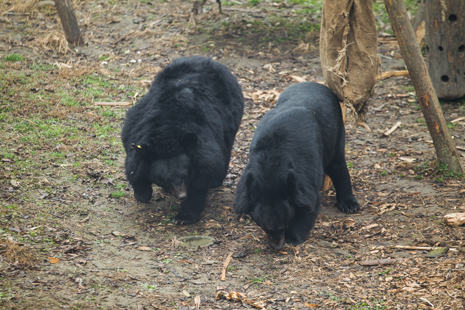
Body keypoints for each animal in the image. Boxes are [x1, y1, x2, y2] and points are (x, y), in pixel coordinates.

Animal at [121, 56, 245, 225]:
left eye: (185, 175)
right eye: (165, 179)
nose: (181, 196)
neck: (167, 134)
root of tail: (207, 59)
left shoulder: (203, 151)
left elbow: (199, 185)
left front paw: (183, 217)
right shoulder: (136, 127)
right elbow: (136, 165)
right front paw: (143, 194)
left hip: (231, 119)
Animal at [232, 81, 358, 249]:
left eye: (283, 226)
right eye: (265, 227)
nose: (277, 246)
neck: (271, 163)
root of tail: (314, 83)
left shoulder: (306, 171)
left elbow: (309, 204)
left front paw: (293, 238)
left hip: (337, 129)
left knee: (338, 164)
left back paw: (349, 205)